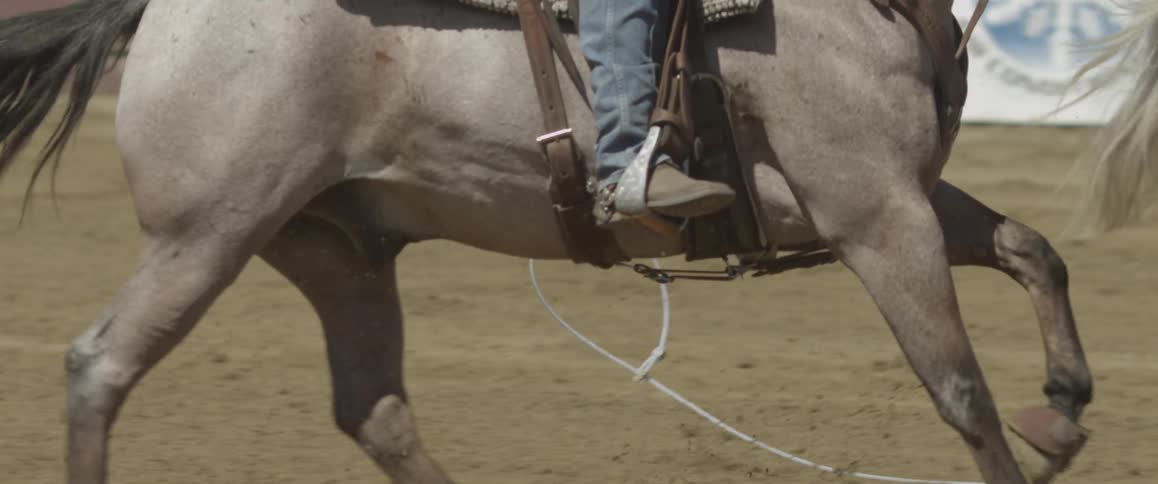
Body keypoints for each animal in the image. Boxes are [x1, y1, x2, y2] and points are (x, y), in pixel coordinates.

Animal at [0, 1, 1091, 483]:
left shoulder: (901, 194)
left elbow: (1033, 248)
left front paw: (1066, 410)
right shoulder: (875, 211)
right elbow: (961, 392)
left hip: (333, 247)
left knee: (376, 411)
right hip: (206, 233)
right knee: (100, 366)